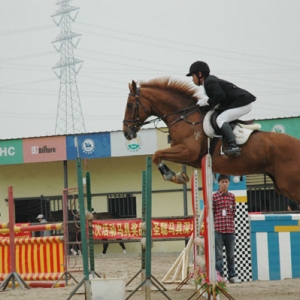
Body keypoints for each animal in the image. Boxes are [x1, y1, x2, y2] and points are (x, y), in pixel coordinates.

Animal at [122, 77, 300, 202]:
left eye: (129, 105)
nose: (126, 133)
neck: (183, 116)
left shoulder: (188, 151)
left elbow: (156, 154)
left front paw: (171, 175)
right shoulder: (189, 157)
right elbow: (158, 155)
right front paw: (179, 176)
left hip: (290, 184)